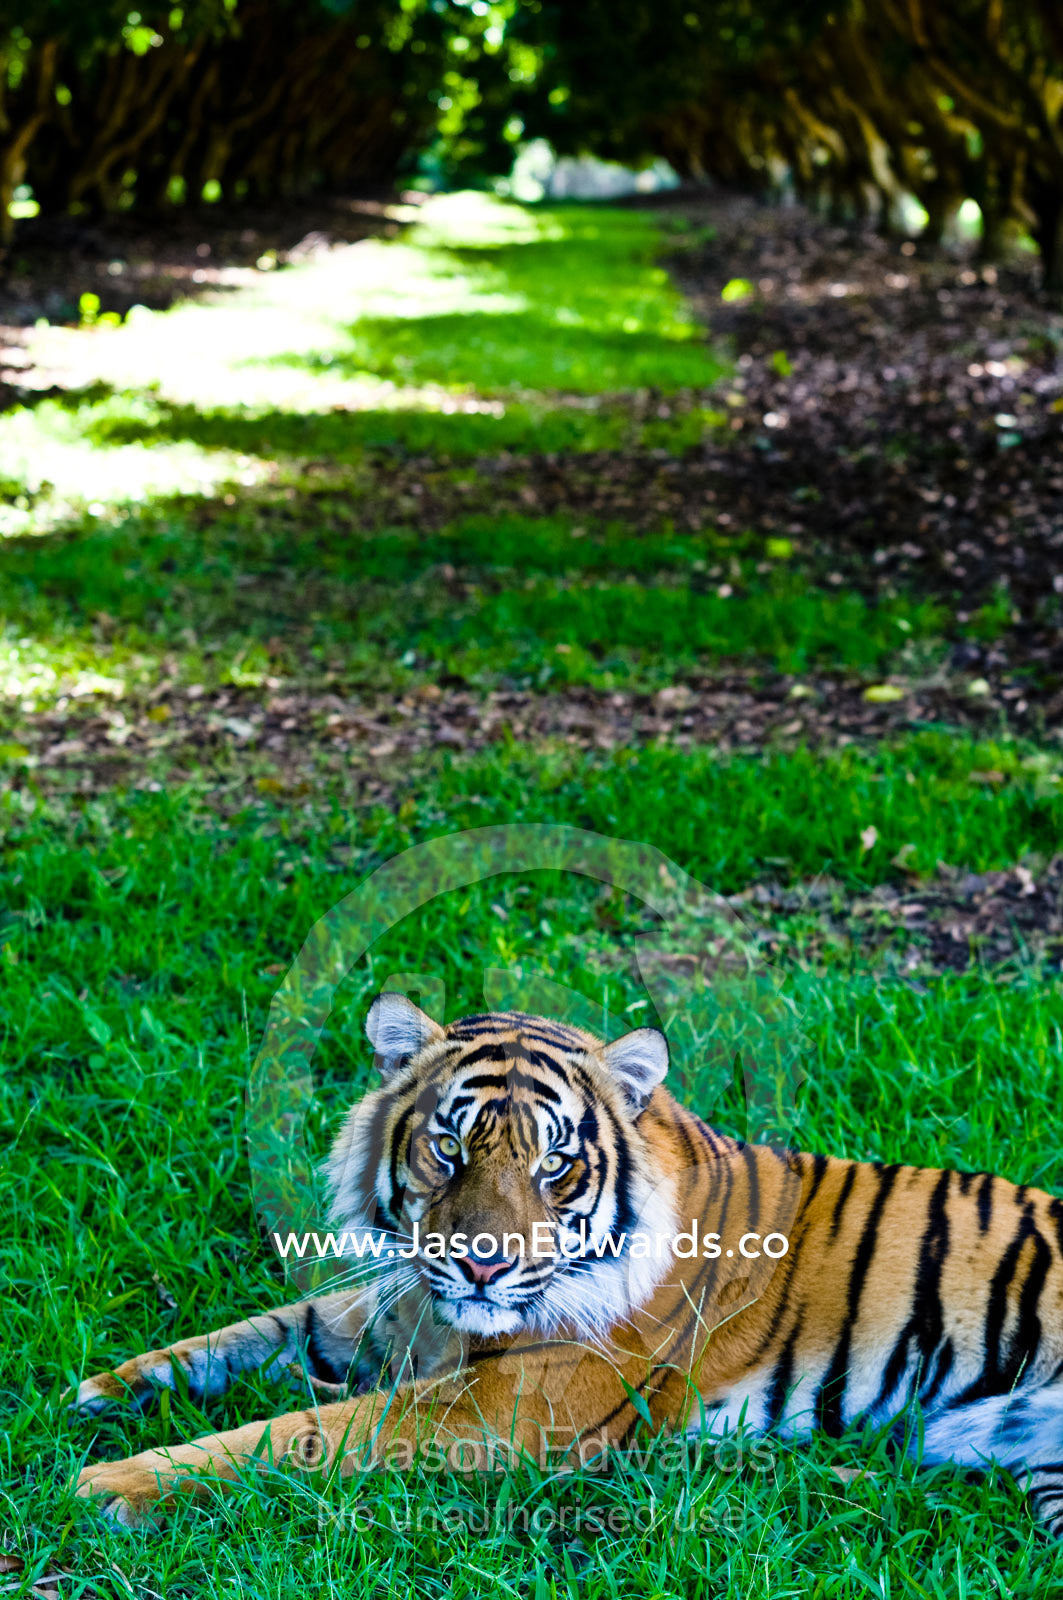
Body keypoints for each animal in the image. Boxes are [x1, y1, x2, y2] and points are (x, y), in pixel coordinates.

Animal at [71, 993, 1063, 1537]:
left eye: (553, 1163)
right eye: (449, 1148)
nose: (479, 1267)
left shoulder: (510, 1403)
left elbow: (307, 1433)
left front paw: (115, 1482)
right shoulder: (402, 1306)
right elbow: (255, 1333)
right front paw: (112, 1386)